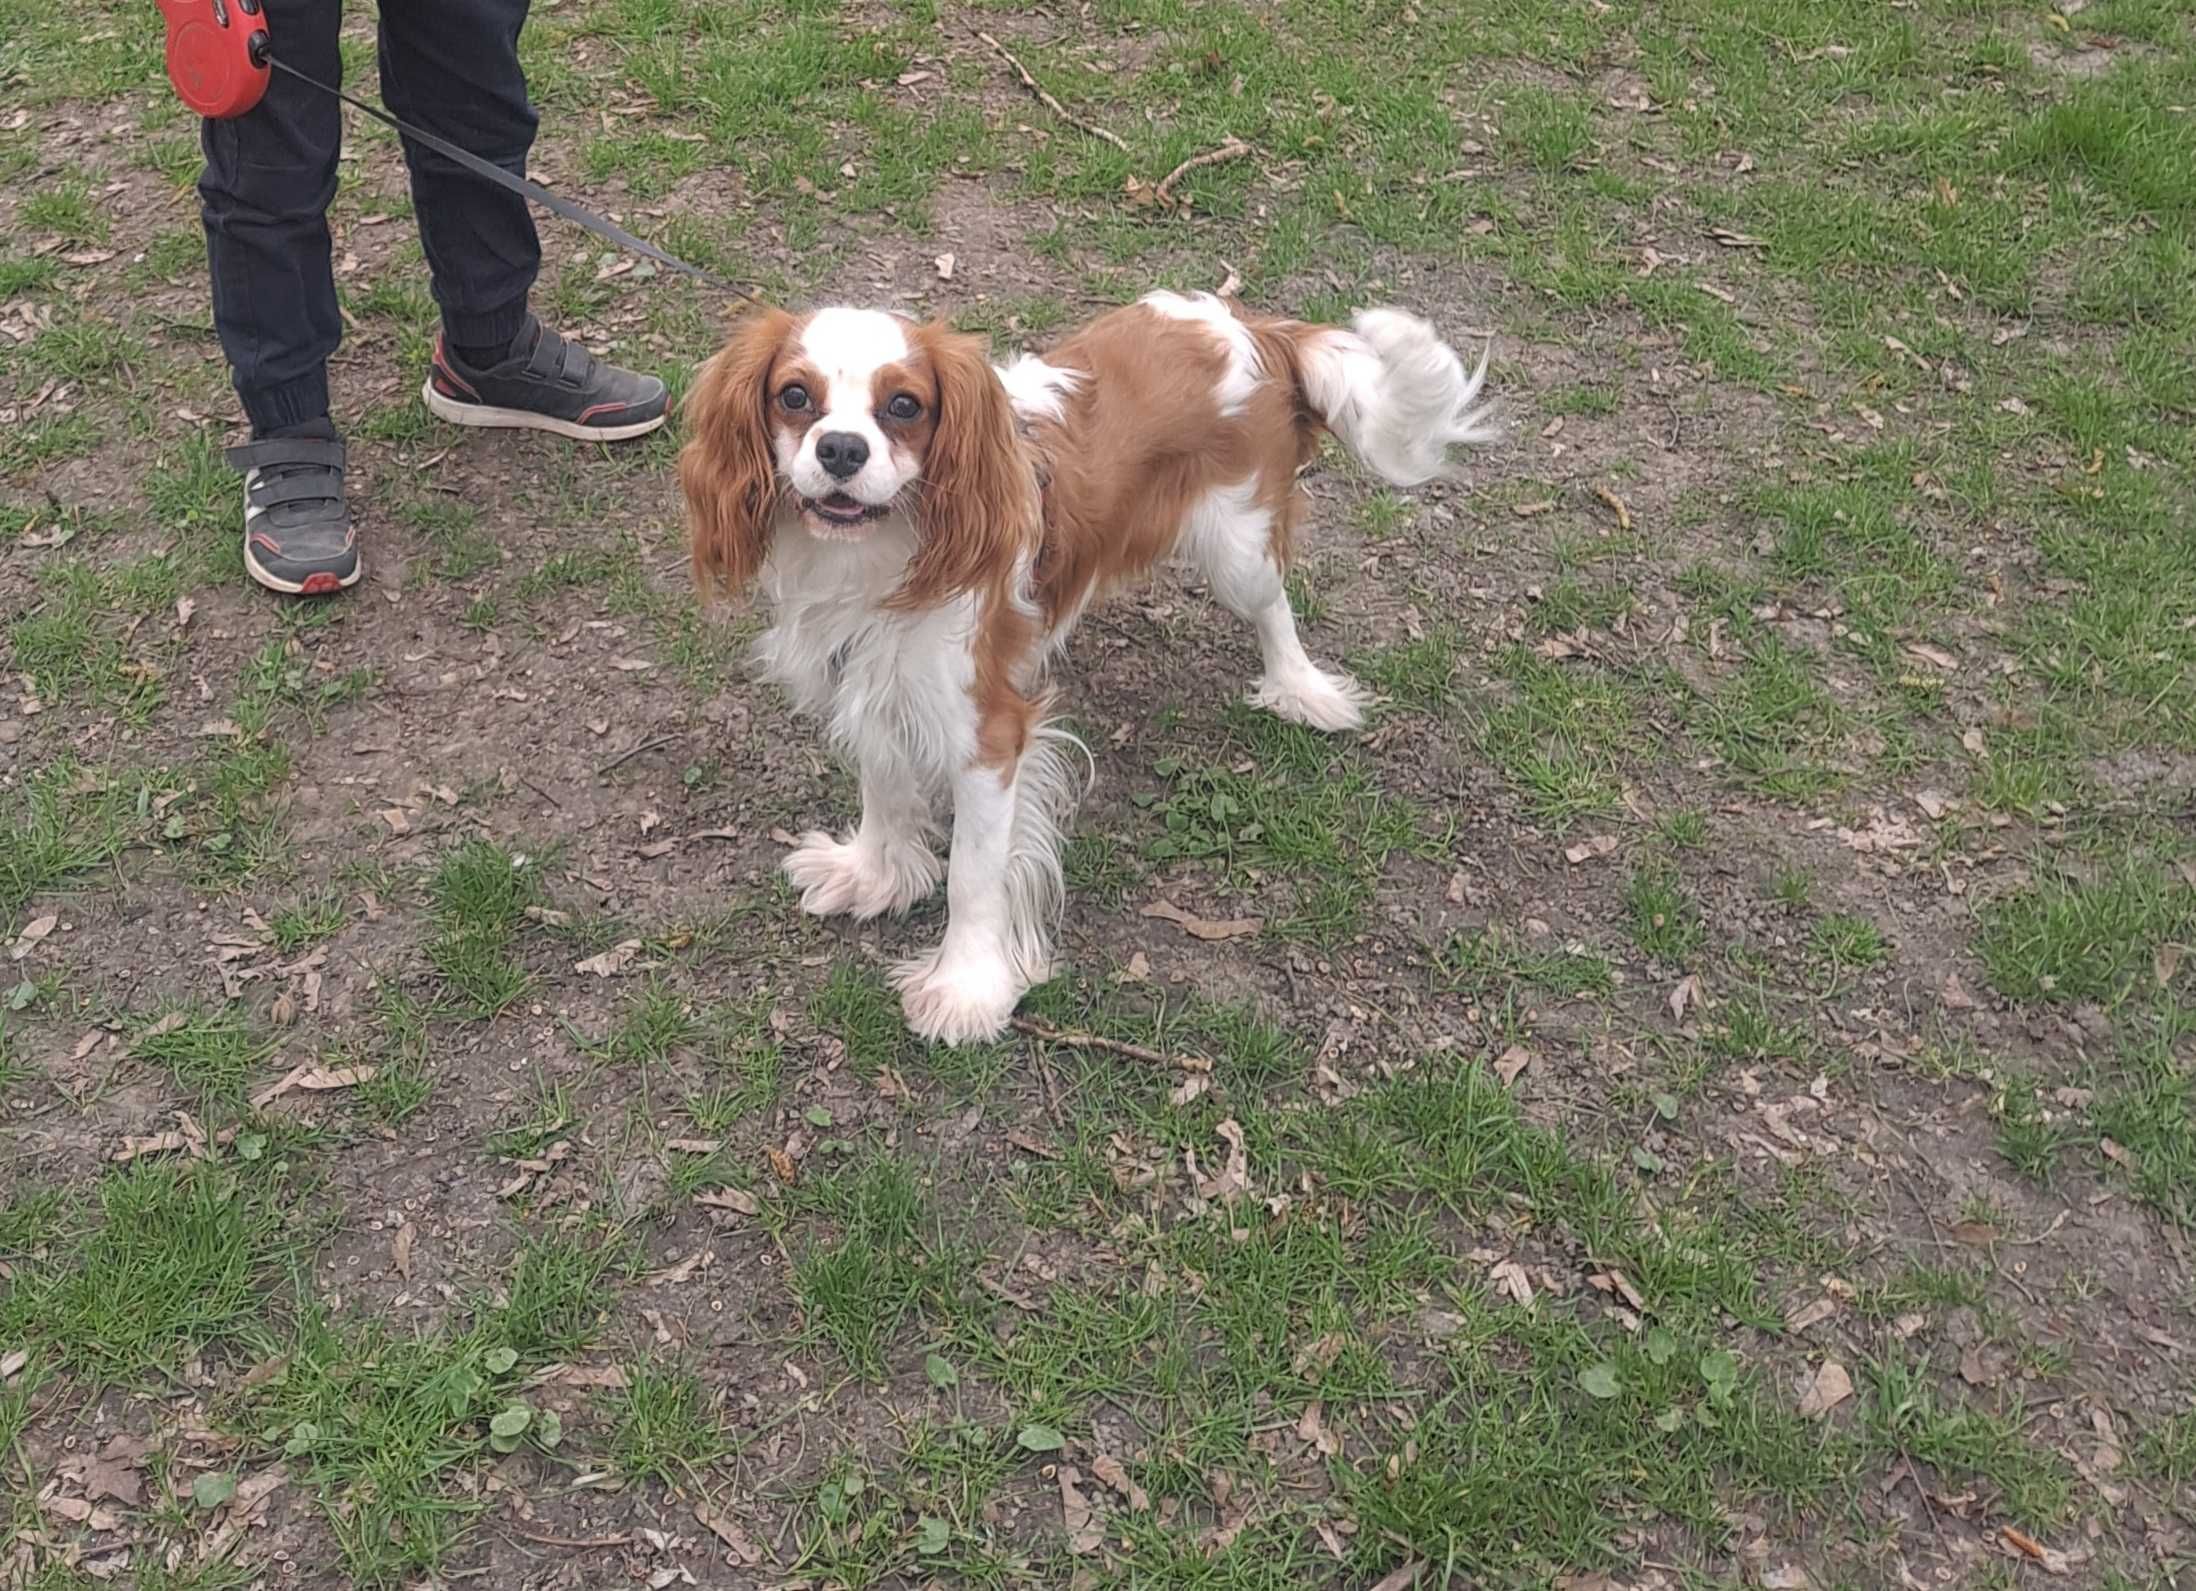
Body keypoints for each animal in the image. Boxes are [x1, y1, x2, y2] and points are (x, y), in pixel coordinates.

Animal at [676, 294, 1502, 1050]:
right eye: (794, 396)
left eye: (904, 406)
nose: (842, 449)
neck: (877, 560)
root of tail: (1254, 327)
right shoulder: (870, 679)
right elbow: (884, 785)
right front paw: (876, 874)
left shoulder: (990, 734)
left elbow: (975, 874)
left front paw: (965, 987)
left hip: (1235, 546)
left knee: (1274, 608)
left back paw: (1300, 690)